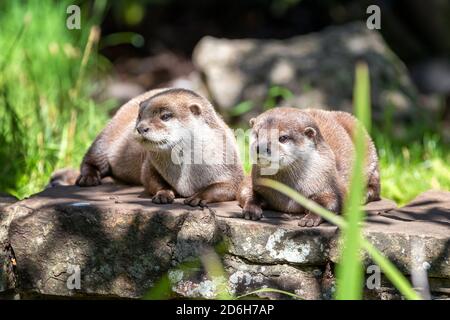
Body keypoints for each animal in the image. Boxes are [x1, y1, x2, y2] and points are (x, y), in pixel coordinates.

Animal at [77, 89, 243, 206]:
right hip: (108, 134)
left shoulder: (229, 163)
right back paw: (88, 178)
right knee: (93, 156)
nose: (140, 128)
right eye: (140, 116)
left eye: (165, 116)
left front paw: (199, 196)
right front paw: (164, 194)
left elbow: (230, 187)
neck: (188, 174)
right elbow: (150, 179)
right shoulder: (150, 164)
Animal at [237, 108, 382, 228]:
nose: (260, 147)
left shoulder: (330, 181)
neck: (286, 194)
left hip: (370, 153)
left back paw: (362, 195)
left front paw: (309, 218)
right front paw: (251, 209)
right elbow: (245, 191)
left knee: (375, 187)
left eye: (283, 138)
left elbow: (333, 201)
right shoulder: (252, 178)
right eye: (256, 134)